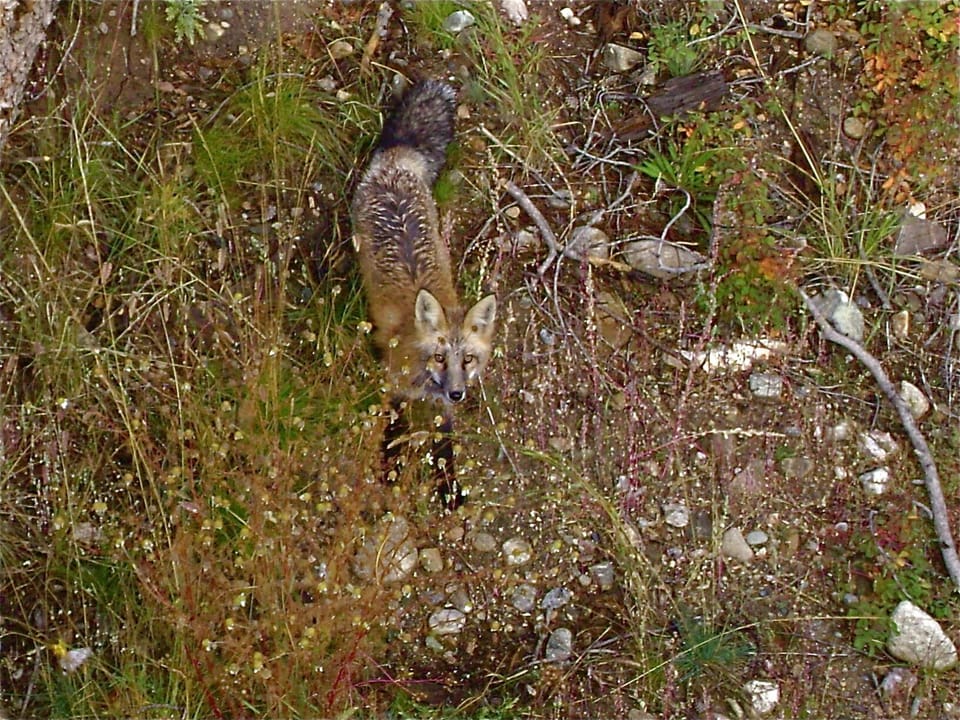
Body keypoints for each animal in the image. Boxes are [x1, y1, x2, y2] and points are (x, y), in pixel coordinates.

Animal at [351, 79, 497, 508]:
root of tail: (397, 164)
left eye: (468, 359)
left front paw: (448, 486)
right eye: (439, 356)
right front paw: (390, 467)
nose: (458, 393)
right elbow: (395, 427)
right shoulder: (396, 387)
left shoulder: (442, 407)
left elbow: (444, 441)